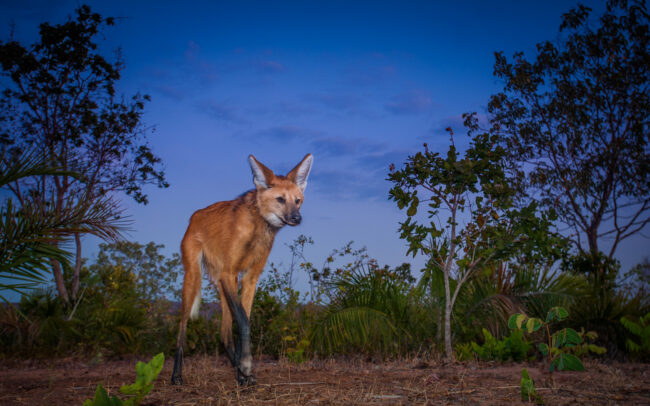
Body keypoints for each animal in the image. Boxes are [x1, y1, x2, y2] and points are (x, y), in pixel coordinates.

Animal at [171, 153, 313, 386]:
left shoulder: (248, 277)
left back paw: (238, 373)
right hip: (194, 277)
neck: (258, 229)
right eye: (280, 199)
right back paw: (176, 375)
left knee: (224, 334)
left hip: (224, 283)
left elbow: (244, 320)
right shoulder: (229, 273)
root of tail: (194, 216)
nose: (297, 218)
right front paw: (245, 365)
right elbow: (244, 322)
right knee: (182, 325)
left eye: (297, 201)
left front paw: (244, 371)